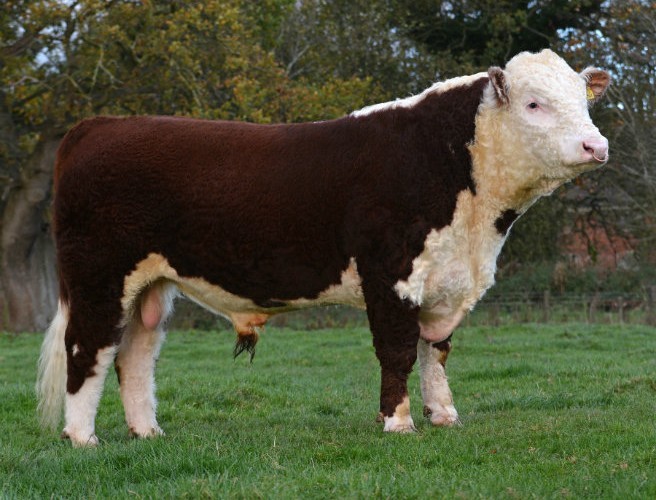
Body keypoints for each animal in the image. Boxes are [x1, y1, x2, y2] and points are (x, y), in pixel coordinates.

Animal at [36, 49, 610, 447]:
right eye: (535, 104)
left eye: (583, 102)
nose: (596, 145)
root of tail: (101, 124)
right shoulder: (391, 275)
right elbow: (398, 351)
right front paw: (398, 423)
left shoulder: (444, 281)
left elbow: (437, 352)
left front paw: (444, 416)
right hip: (98, 277)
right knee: (88, 348)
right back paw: (82, 438)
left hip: (150, 286)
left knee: (134, 353)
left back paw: (147, 433)